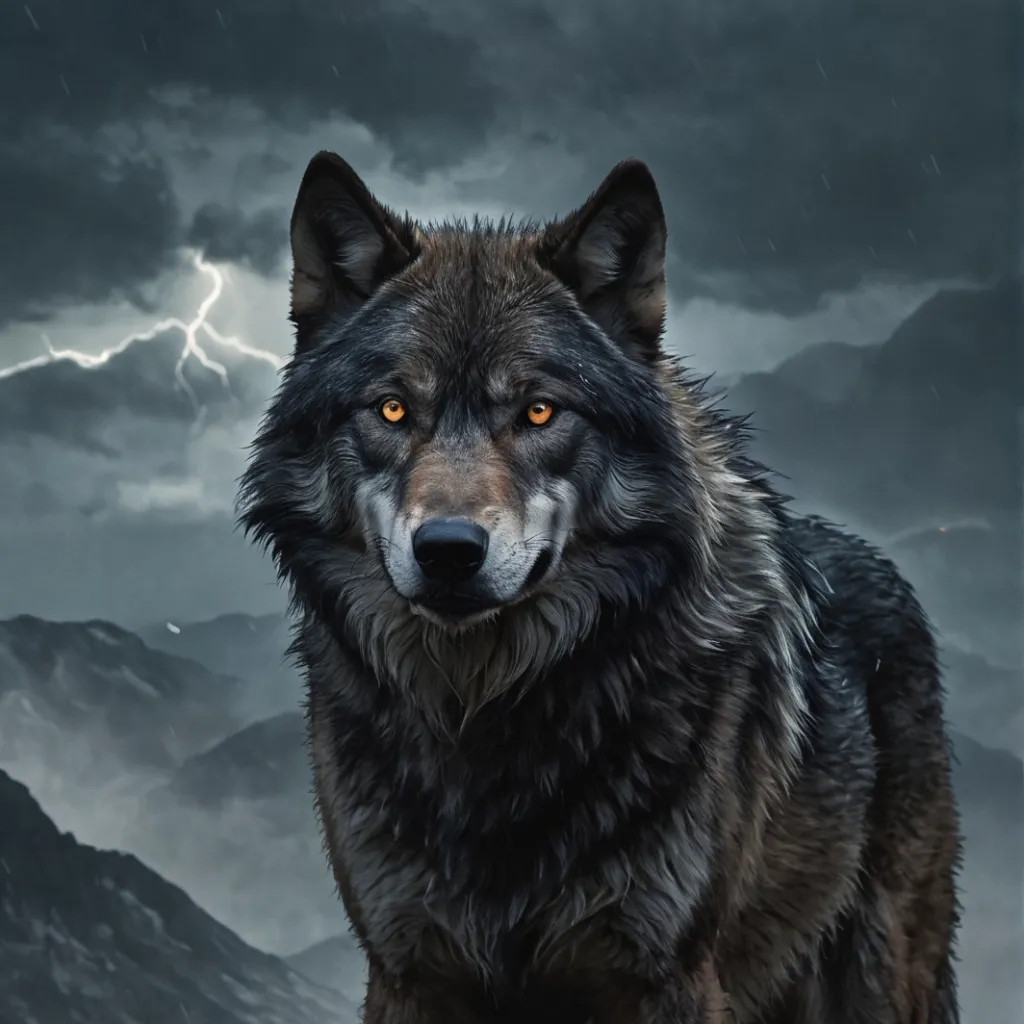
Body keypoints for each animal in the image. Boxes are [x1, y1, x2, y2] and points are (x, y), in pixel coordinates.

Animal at [238, 152, 961, 1023]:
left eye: (540, 412)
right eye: (393, 409)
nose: (448, 550)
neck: (484, 726)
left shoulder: (666, 974)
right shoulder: (408, 968)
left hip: (878, 974)